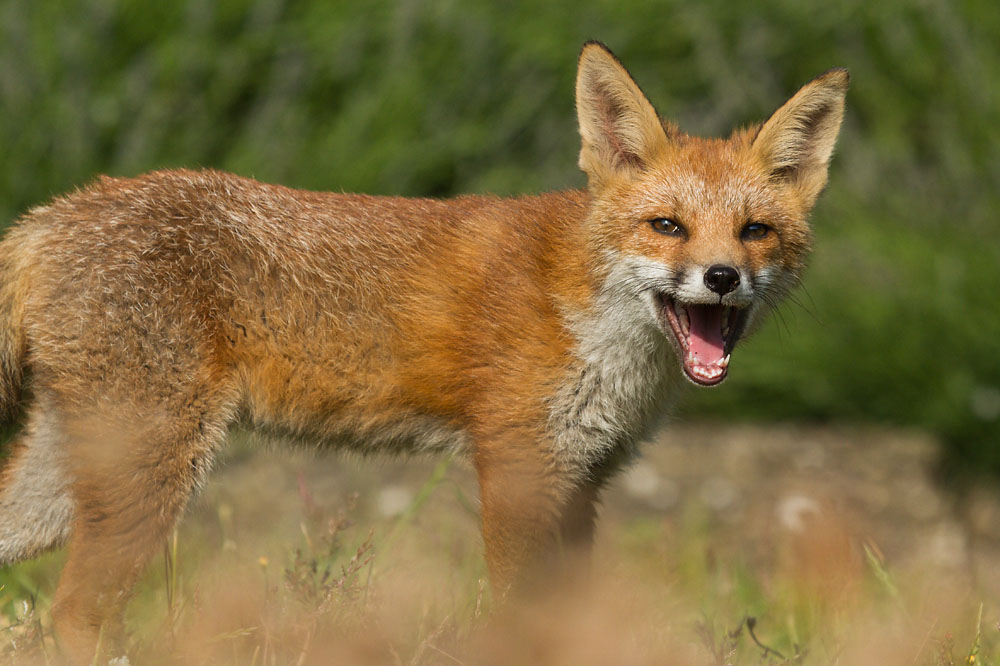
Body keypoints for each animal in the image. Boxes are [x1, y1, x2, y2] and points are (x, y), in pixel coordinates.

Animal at [0, 42, 847, 661]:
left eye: (755, 232)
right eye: (668, 226)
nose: (722, 278)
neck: (592, 320)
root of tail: (52, 214)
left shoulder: (584, 479)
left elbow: (574, 623)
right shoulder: (517, 470)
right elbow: (518, 620)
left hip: (66, 486)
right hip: (146, 473)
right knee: (74, 614)